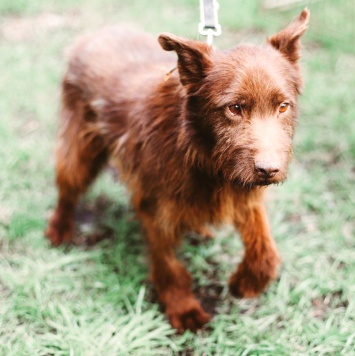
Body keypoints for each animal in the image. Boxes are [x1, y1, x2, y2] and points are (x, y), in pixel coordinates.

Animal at [46, 9, 310, 332]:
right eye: (234, 108)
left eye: (283, 106)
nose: (269, 169)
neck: (202, 156)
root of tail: (95, 34)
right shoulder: (154, 208)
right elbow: (169, 265)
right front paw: (183, 308)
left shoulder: (243, 195)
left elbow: (266, 252)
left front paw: (245, 283)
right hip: (80, 152)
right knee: (68, 189)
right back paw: (60, 227)